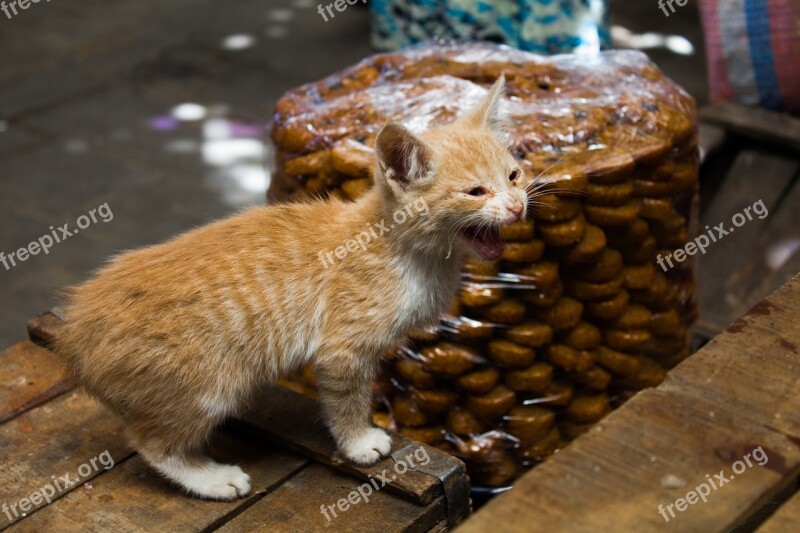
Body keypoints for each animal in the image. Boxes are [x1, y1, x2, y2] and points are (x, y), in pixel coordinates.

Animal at [53, 77, 528, 500]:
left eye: (514, 175)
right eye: (475, 191)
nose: (518, 206)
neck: (404, 250)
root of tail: (74, 337)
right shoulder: (342, 350)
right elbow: (347, 400)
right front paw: (359, 443)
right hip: (207, 385)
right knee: (152, 444)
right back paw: (212, 479)